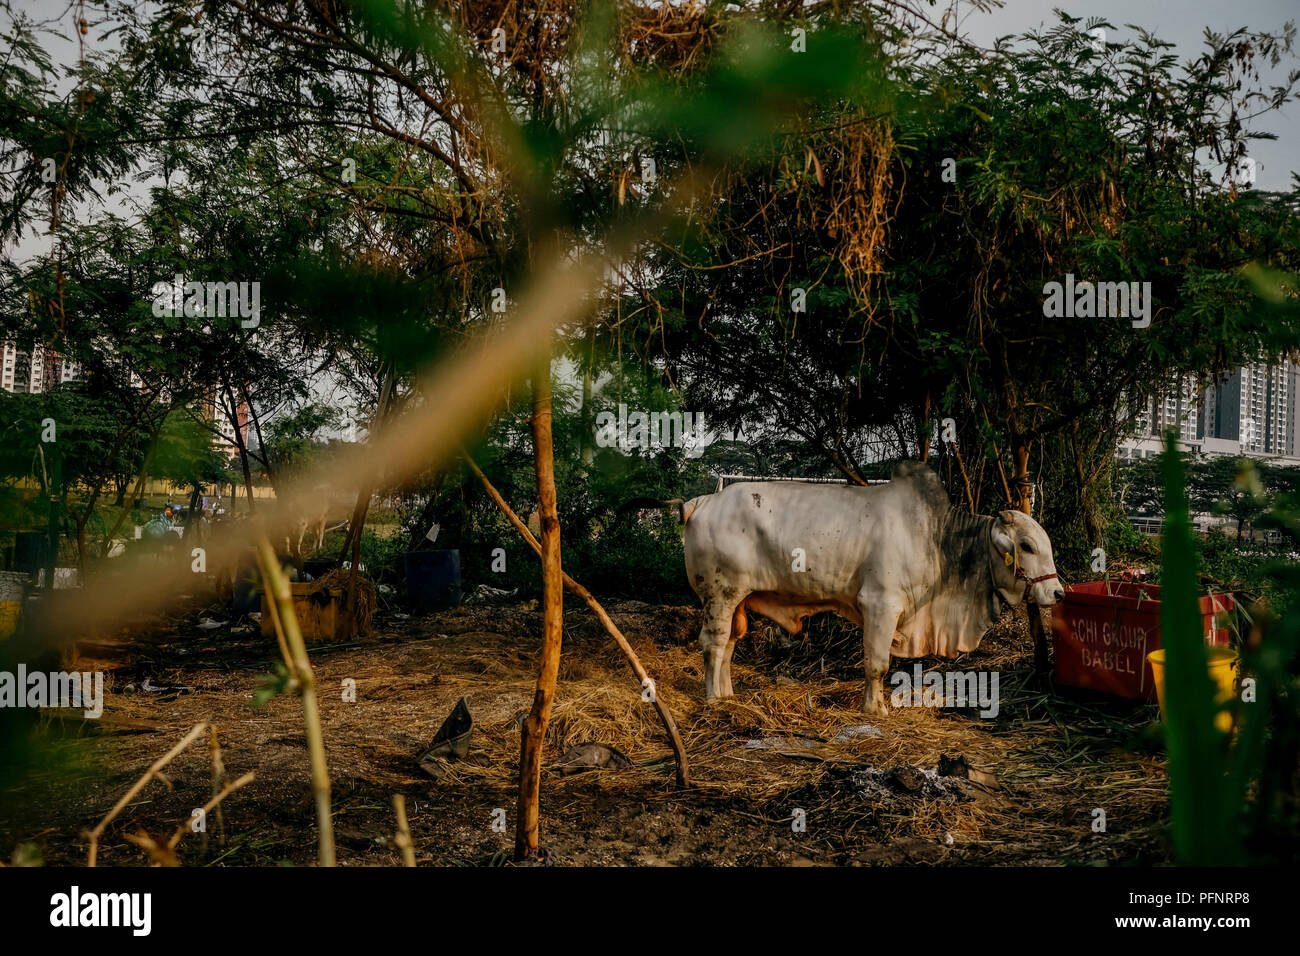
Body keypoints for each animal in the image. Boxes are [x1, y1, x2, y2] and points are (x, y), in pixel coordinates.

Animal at [676, 460, 1060, 712]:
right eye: (1027, 546)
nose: (1057, 593)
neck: (938, 538)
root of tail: (701, 502)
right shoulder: (880, 604)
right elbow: (877, 663)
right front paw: (875, 710)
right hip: (719, 595)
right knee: (713, 643)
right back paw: (712, 698)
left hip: (737, 600)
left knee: (729, 643)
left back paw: (728, 695)